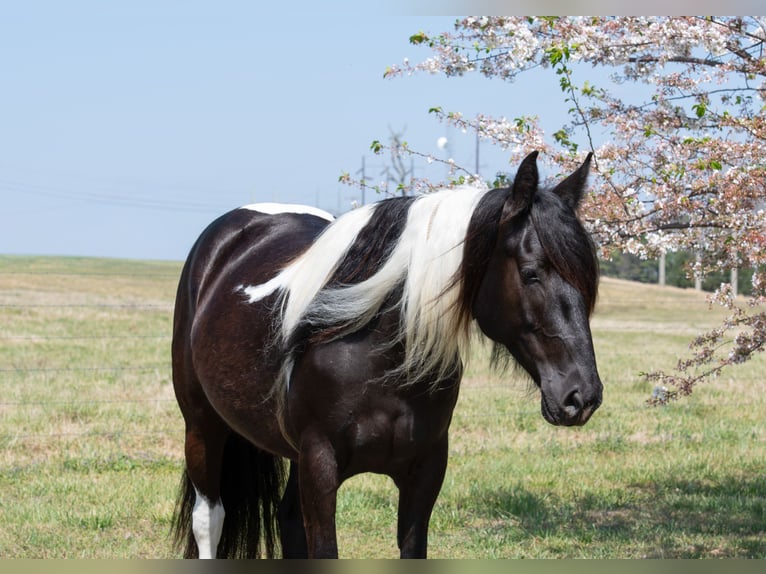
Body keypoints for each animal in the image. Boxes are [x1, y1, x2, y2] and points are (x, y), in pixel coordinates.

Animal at [170, 150, 603, 559]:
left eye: (587, 281)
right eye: (531, 273)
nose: (581, 396)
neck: (379, 360)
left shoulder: (425, 471)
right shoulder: (320, 465)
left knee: (288, 520)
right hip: (202, 426)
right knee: (209, 519)